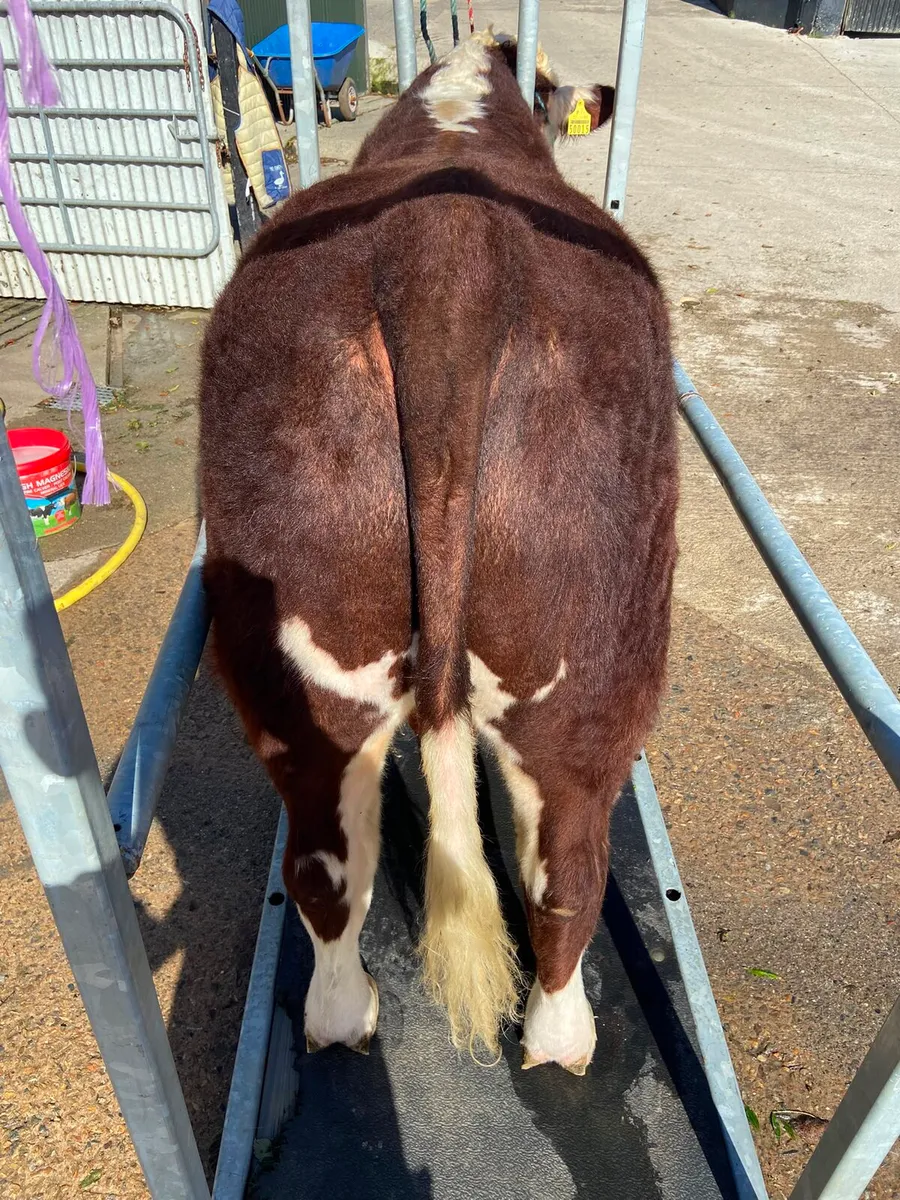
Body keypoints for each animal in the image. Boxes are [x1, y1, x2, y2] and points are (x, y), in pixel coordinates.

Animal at [199, 30, 678, 1075]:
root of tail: (447, 253)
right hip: (606, 662)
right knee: (571, 871)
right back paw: (562, 1043)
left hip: (306, 660)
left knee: (325, 864)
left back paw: (343, 1020)